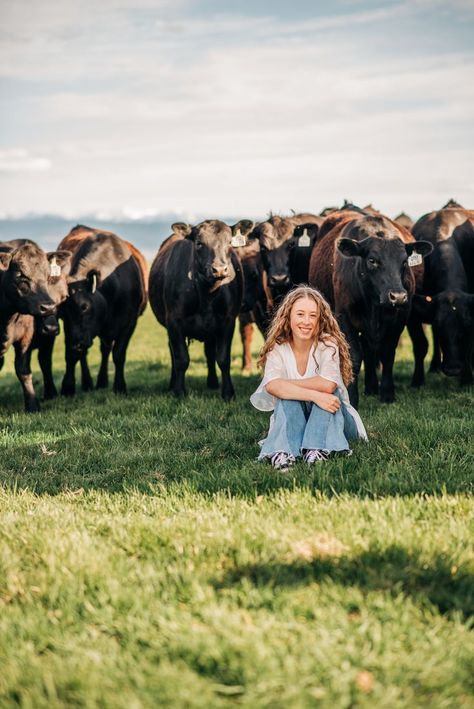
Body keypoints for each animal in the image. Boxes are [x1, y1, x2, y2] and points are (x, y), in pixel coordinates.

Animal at [58, 231, 146, 392]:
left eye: (85, 306)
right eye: (61, 313)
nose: (76, 343)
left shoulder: (130, 323)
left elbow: (118, 354)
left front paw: (120, 386)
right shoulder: (72, 333)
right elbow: (71, 356)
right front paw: (68, 387)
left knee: (105, 350)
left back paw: (101, 381)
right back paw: (88, 383)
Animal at [149, 218, 244, 398]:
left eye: (229, 242)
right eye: (199, 243)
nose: (219, 269)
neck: (207, 294)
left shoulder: (228, 321)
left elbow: (223, 358)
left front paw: (228, 393)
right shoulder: (174, 322)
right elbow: (181, 358)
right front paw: (179, 391)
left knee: (210, 353)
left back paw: (212, 382)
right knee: (173, 353)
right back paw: (172, 384)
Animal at [310, 212, 432, 404]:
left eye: (404, 261)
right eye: (372, 260)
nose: (398, 296)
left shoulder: (399, 319)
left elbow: (387, 354)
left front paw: (387, 394)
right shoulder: (344, 318)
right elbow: (353, 357)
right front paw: (352, 398)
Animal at [408, 205, 474, 388]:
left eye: (466, 324)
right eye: (438, 324)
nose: (453, 369)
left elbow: (469, 348)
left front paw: (467, 379)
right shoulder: (413, 313)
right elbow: (421, 345)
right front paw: (417, 380)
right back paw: (434, 366)